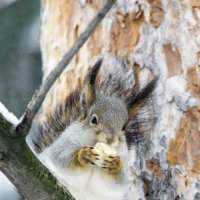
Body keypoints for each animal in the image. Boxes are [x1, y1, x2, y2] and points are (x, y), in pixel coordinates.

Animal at [28, 59, 159, 200]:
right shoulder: (65, 142)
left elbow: (118, 181)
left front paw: (114, 164)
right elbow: (61, 158)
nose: (110, 139)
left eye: (124, 127)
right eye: (94, 120)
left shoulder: (123, 157)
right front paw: (83, 155)